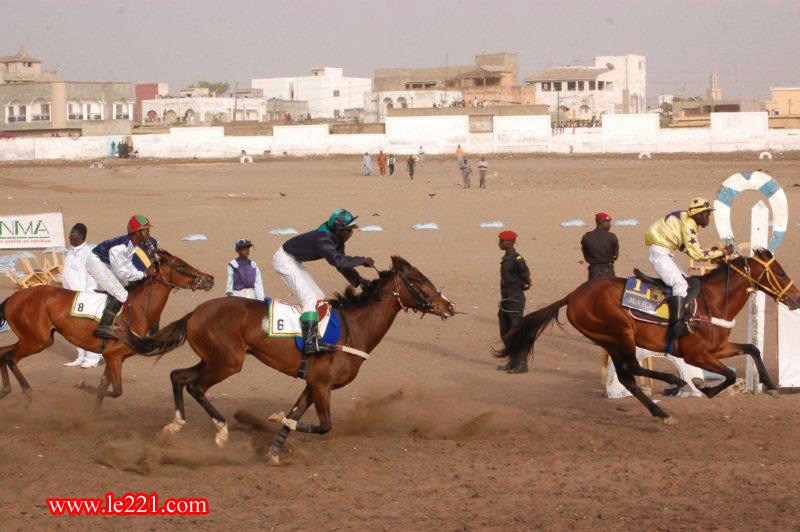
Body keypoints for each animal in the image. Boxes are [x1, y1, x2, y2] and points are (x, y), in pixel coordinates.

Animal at [0, 247, 214, 406]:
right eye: (182, 265)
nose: (210, 278)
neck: (136, 308)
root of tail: (13, 298)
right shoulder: (114, 356)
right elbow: (116, 391)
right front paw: (82, 385)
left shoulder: (112, 358)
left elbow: (103, 391)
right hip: (38, 340)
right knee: (10, 357)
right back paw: (26, 392)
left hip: (33, 338)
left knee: (3, 353)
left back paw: (6, 390)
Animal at [111, 256, 456, 464]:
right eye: (419, 280)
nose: (449, 305)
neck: (352, 329)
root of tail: (196, 311)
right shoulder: (321, 385)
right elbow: (324, 425)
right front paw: (275, 419)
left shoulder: (313, 384)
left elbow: (296, 415)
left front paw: (274, 449)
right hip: (228, 361)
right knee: (195, 386)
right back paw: (220, 431)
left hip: (213, 359)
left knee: (178, 376)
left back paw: (175, 425)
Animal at [500, 249, 800, 424]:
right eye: (780, 271)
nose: (796, 298)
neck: (713, 301)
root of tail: (572, 296)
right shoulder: (696, 354)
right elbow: (729, 374)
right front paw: (703, 387)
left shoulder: (718, 348)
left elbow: (752, 349)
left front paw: (770, 386)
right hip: (620, 333)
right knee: (632, 368)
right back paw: (673, 382)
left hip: (608, 340)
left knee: (627, 377)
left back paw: (661, 412)